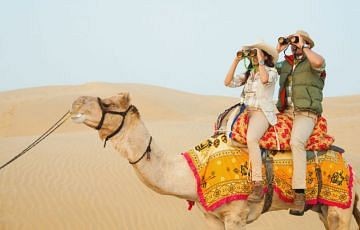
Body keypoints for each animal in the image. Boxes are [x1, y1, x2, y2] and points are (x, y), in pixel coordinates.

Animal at [70, 92, 360, 229]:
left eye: (108, 103)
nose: (76, 103)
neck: (192, 173)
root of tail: (346, 163)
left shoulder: (236, 215)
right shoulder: (210, 217)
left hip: (340, 208)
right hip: (323, 209)